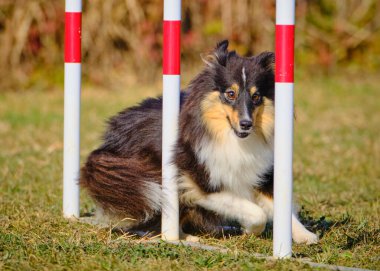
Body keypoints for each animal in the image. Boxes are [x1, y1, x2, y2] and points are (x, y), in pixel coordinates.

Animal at [80, 41, 318, 246]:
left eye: (256, 96)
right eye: (230, 94)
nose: (246, 124)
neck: (229, 137)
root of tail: (105, 145)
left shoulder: (260, 173)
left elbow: (280, 205)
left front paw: (305, 235)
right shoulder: (201, 182)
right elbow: (256, 212)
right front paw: (250, 230)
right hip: (146, 176)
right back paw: (184, 237)